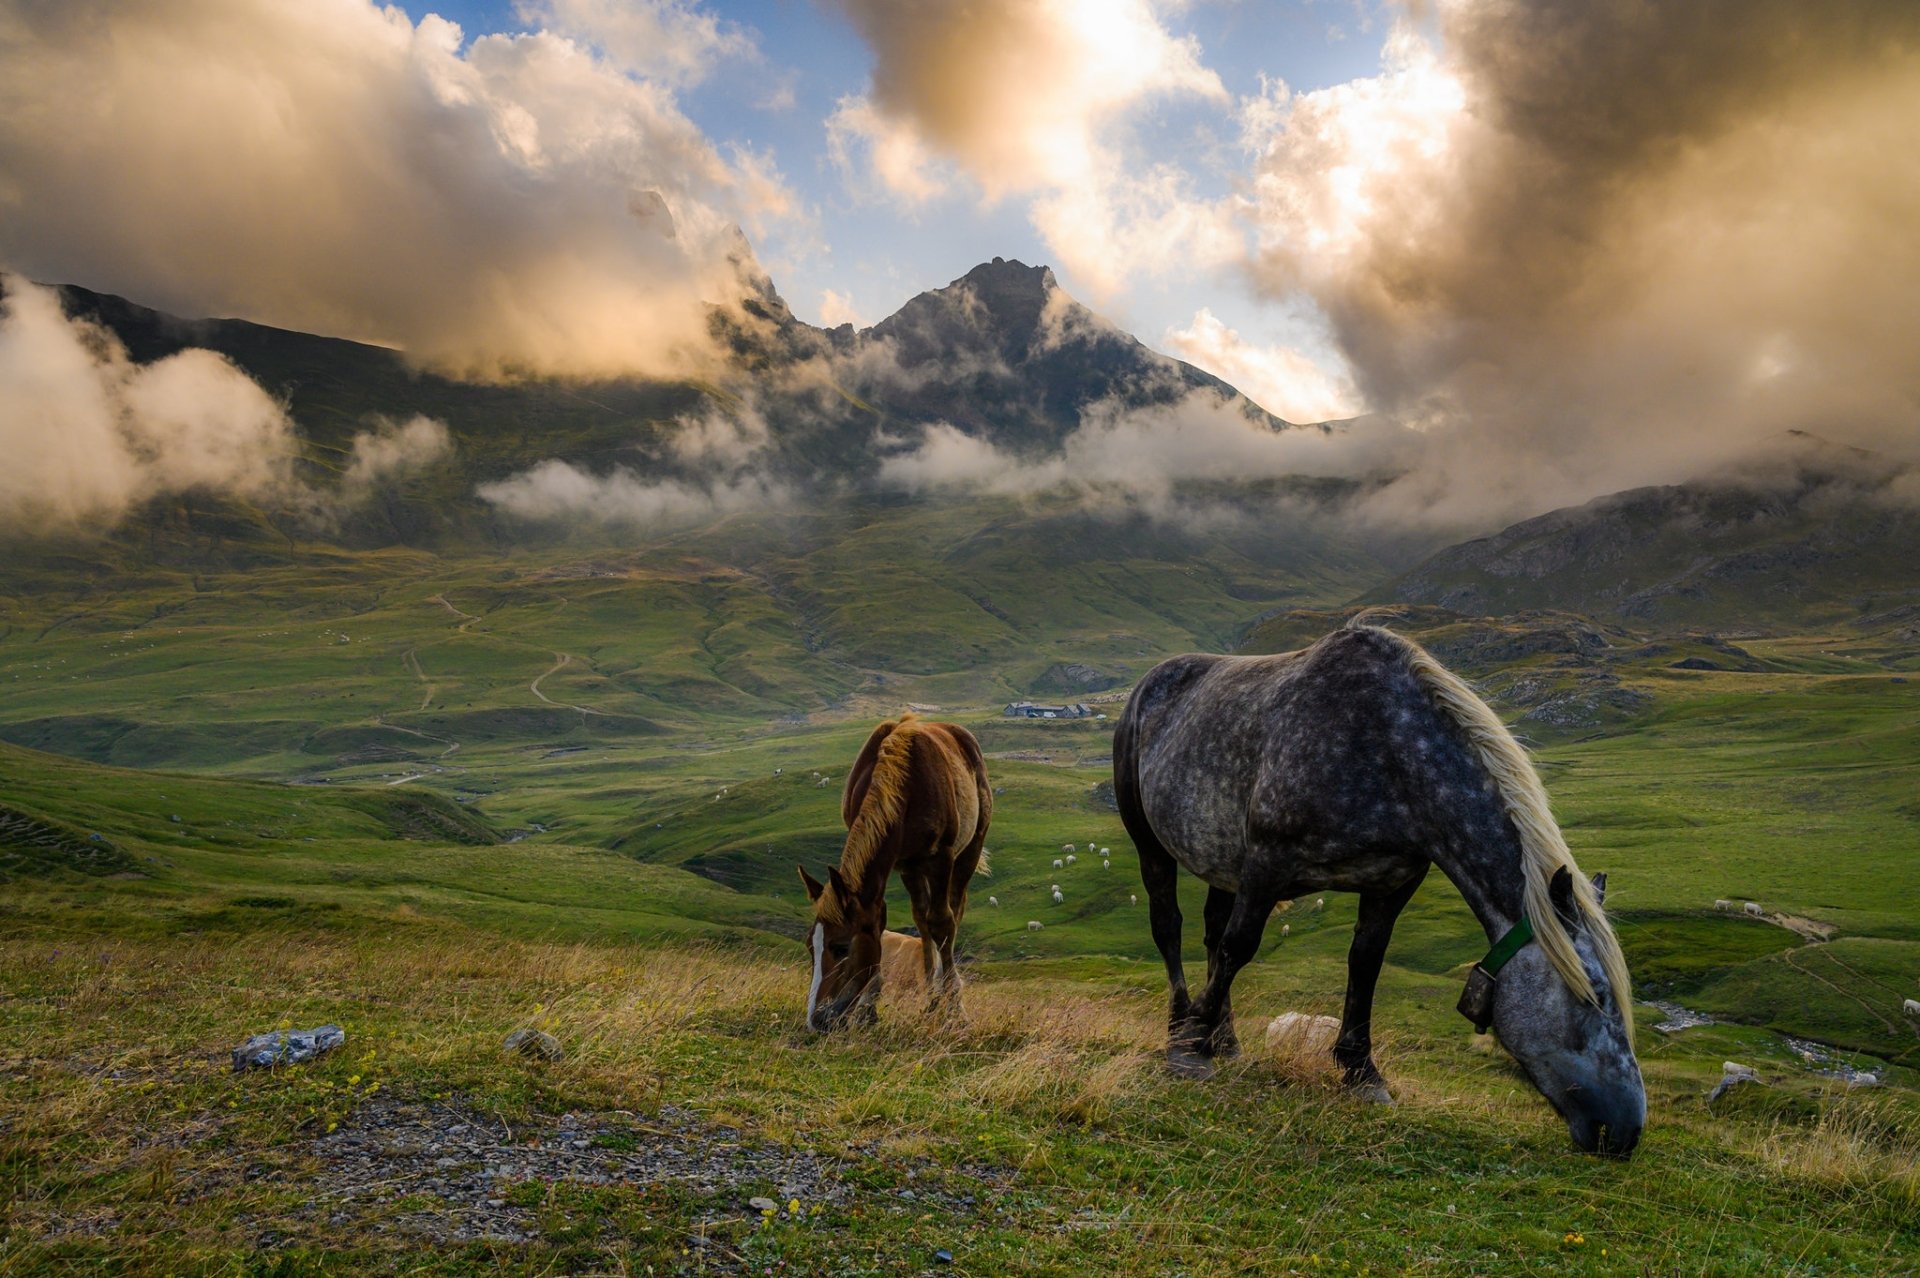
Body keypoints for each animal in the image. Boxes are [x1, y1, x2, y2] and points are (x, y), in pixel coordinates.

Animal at [798, 714, 990, 1032]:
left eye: (840, 947)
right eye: (809, 947)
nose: (817, 1019)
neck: (904, 786)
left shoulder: (941, 858)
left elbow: (943, 924)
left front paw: (955, 1008)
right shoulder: (896, 864)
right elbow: (880, 921)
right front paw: (869, 1006)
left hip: (969, 851)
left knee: (952, 913)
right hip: (912, 869)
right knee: (922, 919)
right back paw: (931, 996)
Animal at [1113, 618, 1645, 1156]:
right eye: (1596, 996)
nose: (1627, 1130)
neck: (1387, 750)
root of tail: (1151, 683)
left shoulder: (1394, 881)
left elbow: (1365, 964)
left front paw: (1361, 1072)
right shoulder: (1268, 862)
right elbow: (1239, 947)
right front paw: (1189, 1049)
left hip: (1221, 862)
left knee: (1210, 930)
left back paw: (1225, 1039)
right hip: (1150, 843)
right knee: (1169, 927)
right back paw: (1182, 1026)